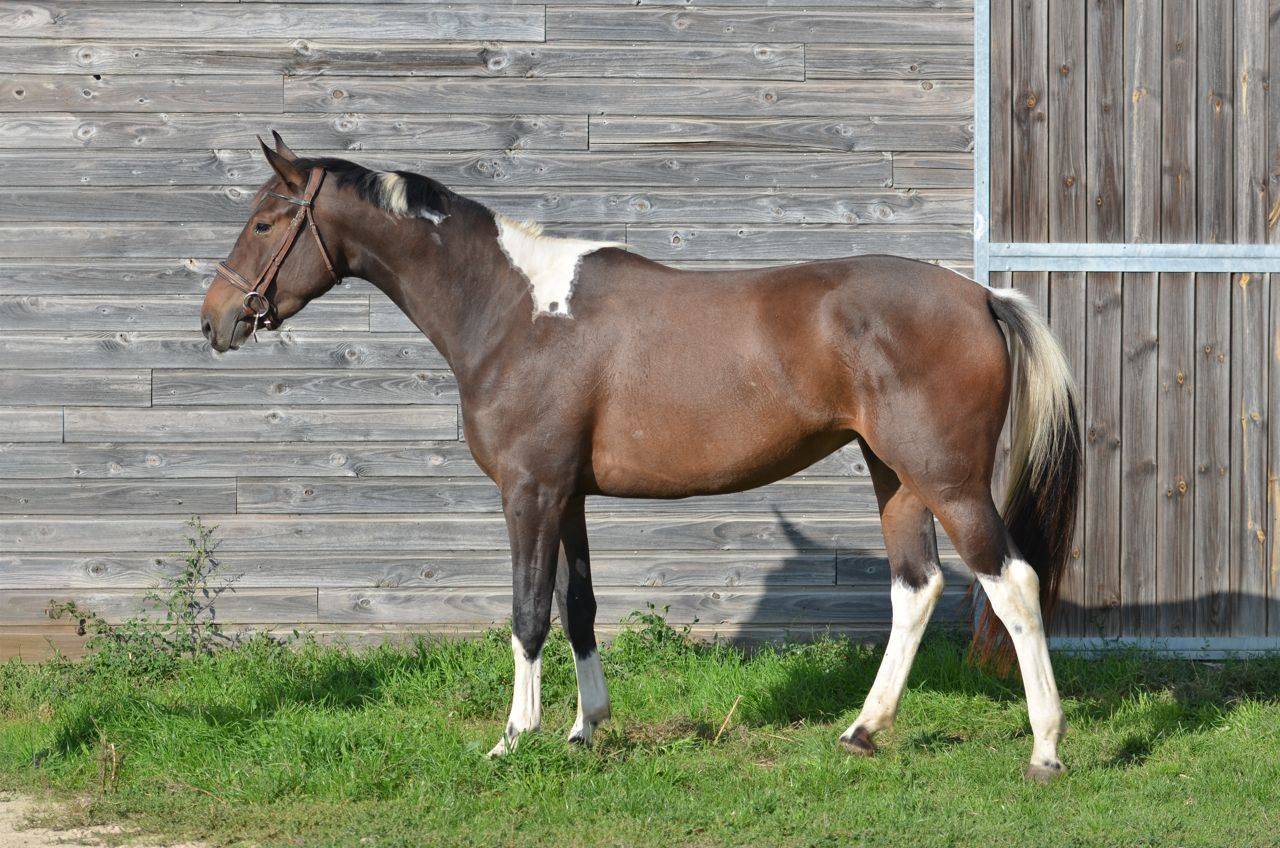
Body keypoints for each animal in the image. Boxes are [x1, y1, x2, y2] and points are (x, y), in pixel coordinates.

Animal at [200, 134, 1082, 781]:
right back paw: (861, 731)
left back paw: (1045, 748)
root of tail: (981, 297)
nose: (216, 319)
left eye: (267, 223)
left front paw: (513, 737)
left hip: (947, 480)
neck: (514, 312)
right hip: (893, 475)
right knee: (916, 587)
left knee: (1013, 583)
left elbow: (527, 613)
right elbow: (579, 608)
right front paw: (585, 729)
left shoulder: (529, 491)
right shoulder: (568, 495)